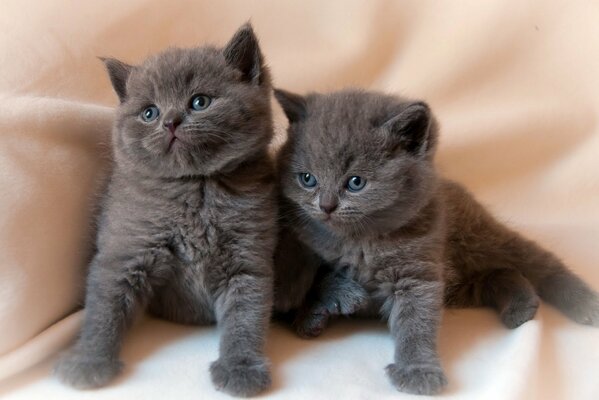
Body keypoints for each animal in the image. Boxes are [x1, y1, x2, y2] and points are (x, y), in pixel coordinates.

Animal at [52, 25, 278, 396]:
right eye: (149, 113)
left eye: (200, 101)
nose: (171, 121)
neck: (195, 188)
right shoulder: (125, 252)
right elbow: (104, 310)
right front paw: (88, 361)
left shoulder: (248, 260)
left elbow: (246, 317)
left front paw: (240, 367)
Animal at [274, 89, 599, 396]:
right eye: (307, 179)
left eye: (355, 182)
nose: (326, 206)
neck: (359, 241)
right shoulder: (302, 248)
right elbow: (312, 281)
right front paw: (324, 306)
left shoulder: (417, 272)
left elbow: (416, 322)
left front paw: (418, 370)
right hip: (460, 283)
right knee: (499, 274)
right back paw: (521, 306)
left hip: (480, 238)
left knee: (538, 262)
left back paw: (585, 304)